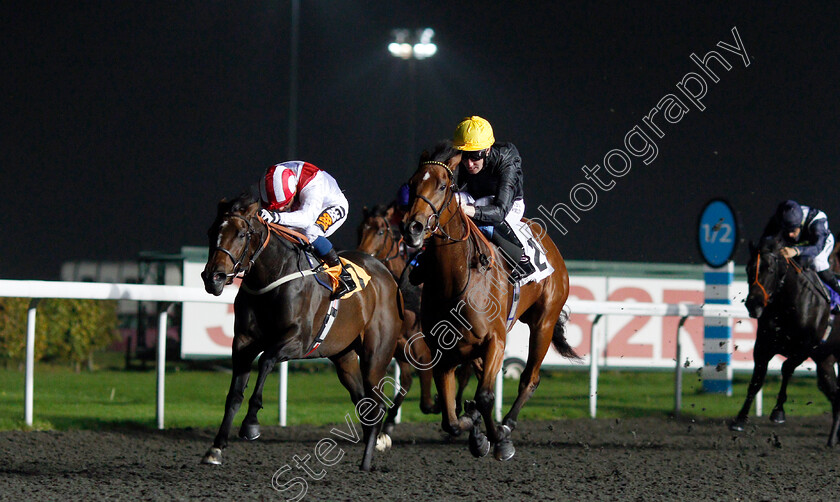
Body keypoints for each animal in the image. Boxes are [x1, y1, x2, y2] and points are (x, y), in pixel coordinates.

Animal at [202, 192, 402, 470]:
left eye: (242, 234)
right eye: (212, 231)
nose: (214, 278)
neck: (271, 277)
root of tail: (387, 275)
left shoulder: (298, 340)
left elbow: (266, 361)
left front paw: (251, 423)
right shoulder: (242, 343)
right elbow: (234, 394)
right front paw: (216, 447)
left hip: (376, 356)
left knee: (376, 405)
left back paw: (366, 462)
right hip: (345, 357)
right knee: (363, 403)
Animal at [354, 205, 472, 436]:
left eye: (380, 231)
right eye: (360, 229)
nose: (362, 255)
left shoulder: (423, 350)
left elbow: (425, 399)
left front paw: (439, 404)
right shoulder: (400, 347)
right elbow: (406, 382)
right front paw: (390, 419)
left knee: (466, 373)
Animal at [400, 140, 576, 458]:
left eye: (443, 185)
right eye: (412, 182)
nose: (413, 228)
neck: (456, 279)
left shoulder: (495, 339)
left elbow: (484, 395)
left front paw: (498, 440)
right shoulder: (443, 351)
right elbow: (451, 420)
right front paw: (474, 430)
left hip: (543, 322)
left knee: (529, 378)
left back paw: (506, 424)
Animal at [728, 235, 840, 444]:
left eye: (770, 270)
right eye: (748, 269)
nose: (753, 303)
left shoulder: (805, 348)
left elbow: (786, 368)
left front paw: (778, 412)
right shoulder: (763, 347)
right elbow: (756, 381)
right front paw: (739, 419)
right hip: (826, 361)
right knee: (836, 394)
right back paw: (832, 439)